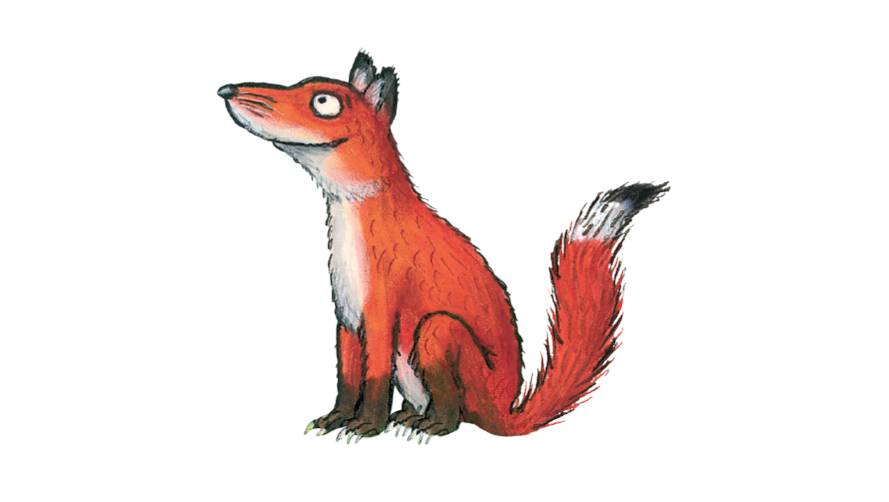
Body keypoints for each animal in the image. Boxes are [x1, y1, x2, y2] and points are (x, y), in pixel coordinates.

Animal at [217, 49, 671, 444]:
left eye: (324, 102)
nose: (227, 91)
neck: (353, 222)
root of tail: (506, 410)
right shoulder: (346, 314)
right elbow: (347, 378)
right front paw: (335, 420)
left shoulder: (380, 311)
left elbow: (373, 380)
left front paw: (365, 426)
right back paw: (410, 419)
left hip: (436, 331)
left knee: (454, 411)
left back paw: (432, 427)